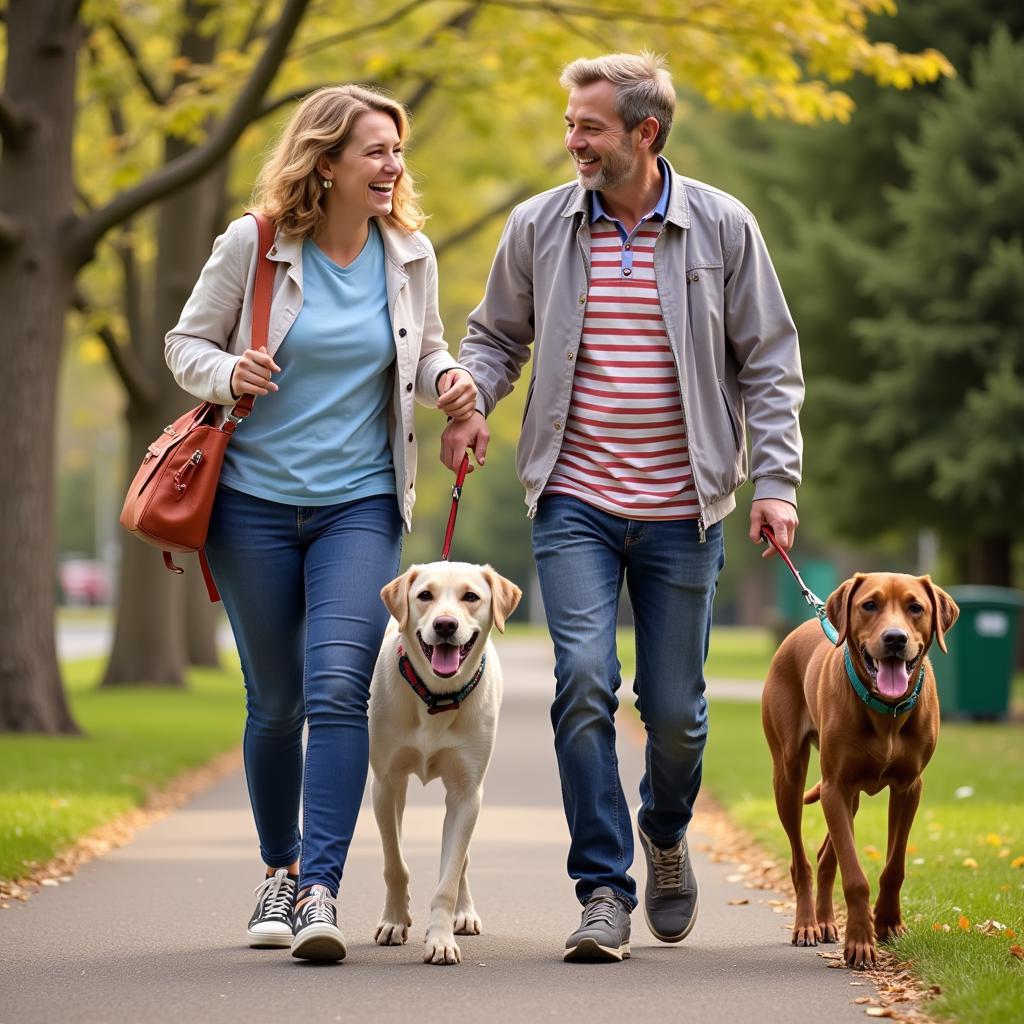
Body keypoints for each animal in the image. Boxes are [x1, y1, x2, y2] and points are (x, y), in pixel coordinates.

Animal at [765, 577, 954, 966]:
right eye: (869, 605)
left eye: (916, 607)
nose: (895, 638)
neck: (886, 710)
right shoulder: (835, 787)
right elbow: (854, 876)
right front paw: (860, 942)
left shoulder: (908, 788)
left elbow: (894, 866)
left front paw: (888, 923)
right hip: (790, 777)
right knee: (801, 861)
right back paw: (807, 924)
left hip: (847, 797)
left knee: (825, 857)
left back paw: (825, 921)